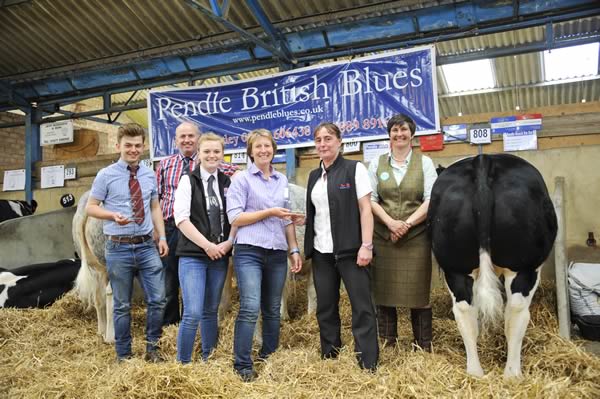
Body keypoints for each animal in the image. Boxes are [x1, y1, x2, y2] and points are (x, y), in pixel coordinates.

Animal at [426, 155, 556, 380]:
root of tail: (482, 161)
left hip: (456, 267)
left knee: (465, 313)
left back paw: (475, 373)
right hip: (524, 267)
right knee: (516, 312)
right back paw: (512, 374)